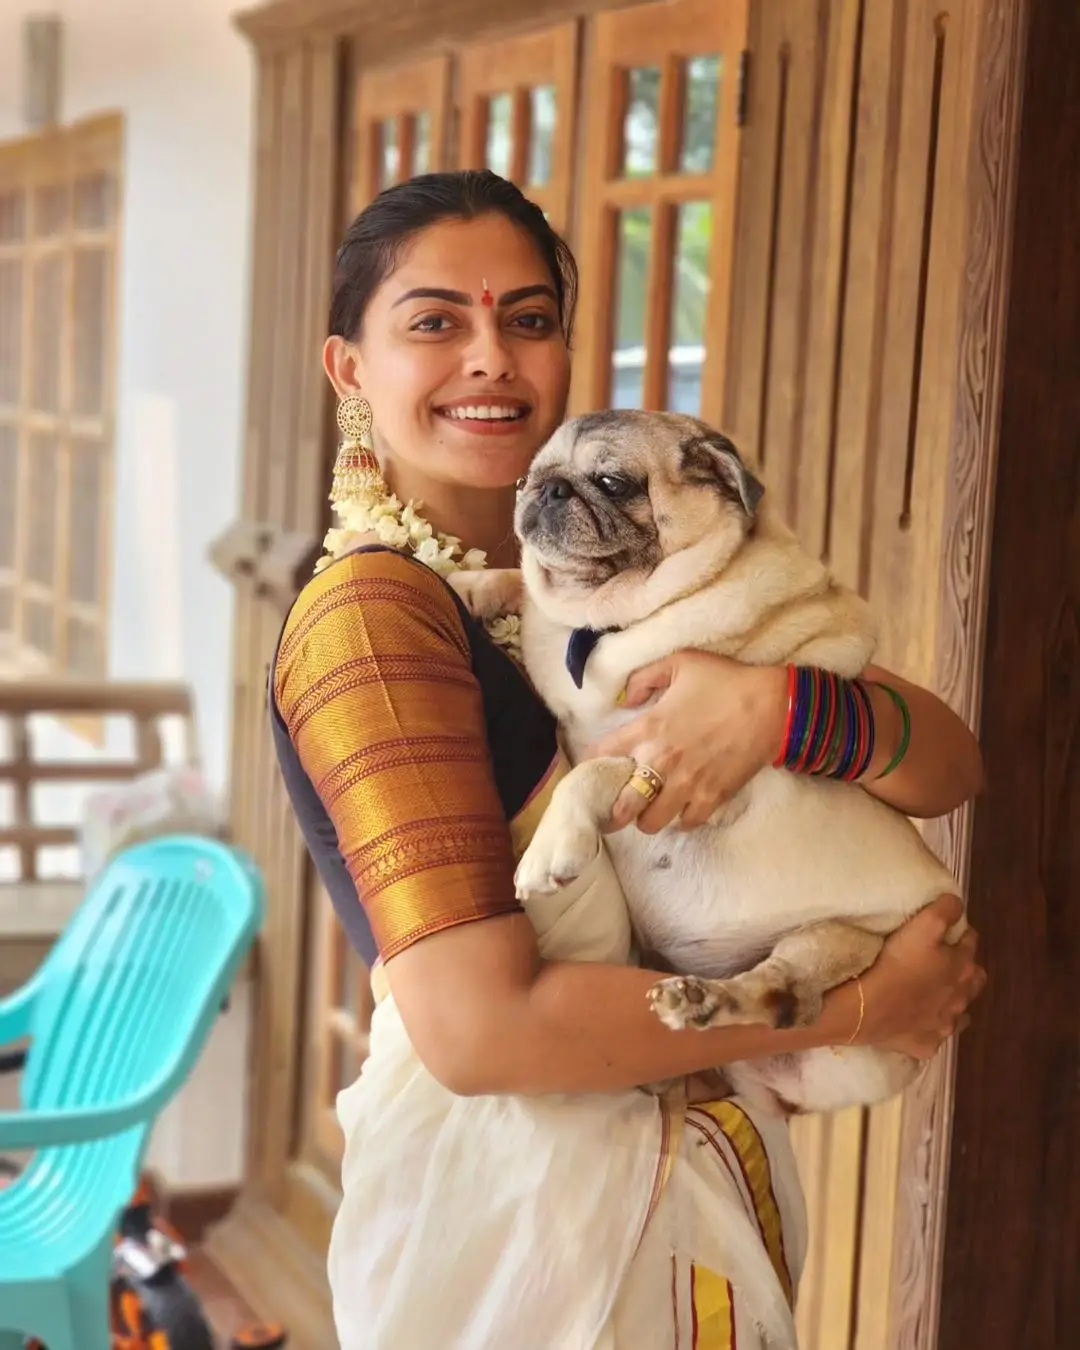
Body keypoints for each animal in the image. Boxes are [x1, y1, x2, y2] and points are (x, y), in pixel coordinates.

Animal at [448, 410, 961, 1117]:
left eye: (613, 482)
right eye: (528, 477)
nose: (547, 491)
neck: (601, 623)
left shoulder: (693, 767)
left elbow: (594, 770)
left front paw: (554, 847)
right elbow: (522, 584)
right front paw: (470, 583)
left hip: (838, 941)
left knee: (785, 996)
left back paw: (707, 1001)